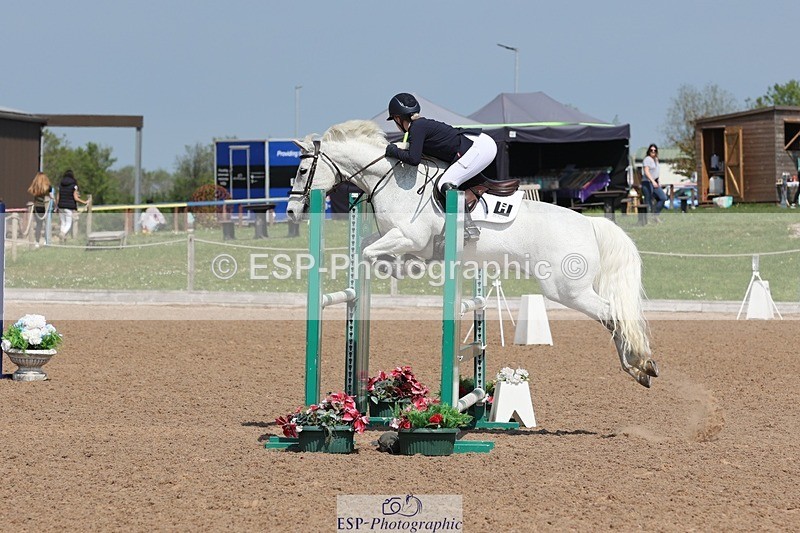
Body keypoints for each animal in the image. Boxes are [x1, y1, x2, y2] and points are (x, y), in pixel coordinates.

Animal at [287, 120, 659, 388]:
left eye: (303, 171)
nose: (291, 211)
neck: (392, 179)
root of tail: (590, 224)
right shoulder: (398, 237)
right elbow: (365, 245)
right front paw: (401, 268)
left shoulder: (409, 236)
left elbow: (370, 252)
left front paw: (400, 268)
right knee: (612, 317)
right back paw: (641, 369)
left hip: (567, 290)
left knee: (614, 315)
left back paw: (640, 364)